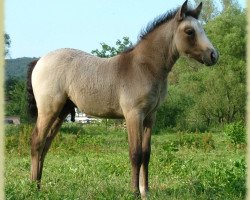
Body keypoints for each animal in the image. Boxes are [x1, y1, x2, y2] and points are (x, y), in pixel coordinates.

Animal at [28, 0, 218, 198]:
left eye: (202, 29)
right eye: (189, 31)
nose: (213, 55)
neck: (144, 67)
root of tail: (39, 61)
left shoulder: (150, 116)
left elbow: (146, 154)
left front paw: (146, 191)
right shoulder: (134, 115)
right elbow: (135, 153)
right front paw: (134, 192)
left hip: (62, 111)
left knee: (45, 145)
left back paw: (39, 185)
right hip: (48, 110)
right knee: (37, 142)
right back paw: (33, 187)